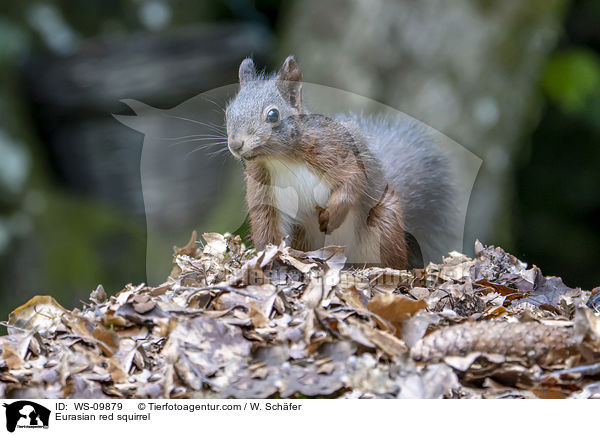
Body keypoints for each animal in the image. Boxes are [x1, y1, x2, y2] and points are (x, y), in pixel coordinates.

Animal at [224, 55, 454, 270]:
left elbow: (352, 180)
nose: (235, 144)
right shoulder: (263, 188)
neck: (280, 159)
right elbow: (265, 224)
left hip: (385, 225)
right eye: (228, 112)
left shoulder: (334, 152)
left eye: (273, 115)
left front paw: (331, 217)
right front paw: (266, 258)